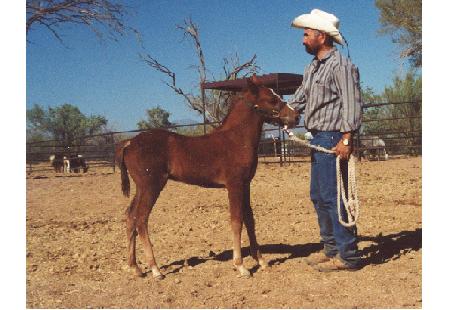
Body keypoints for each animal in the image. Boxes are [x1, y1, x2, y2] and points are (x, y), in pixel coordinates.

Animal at [116, 75, 298, 278]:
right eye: (272, 98)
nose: (295, 116)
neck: (236, 139)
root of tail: (129, 143)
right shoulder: (234, 185)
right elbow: (236, 221)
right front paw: (241, 266)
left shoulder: (246, 184)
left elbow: (249, 219)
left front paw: (261, 261)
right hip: (152, 186)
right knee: (141, 219)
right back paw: (155, 269)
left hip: (141, 188)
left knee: (130, 216)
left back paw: (135, 267)